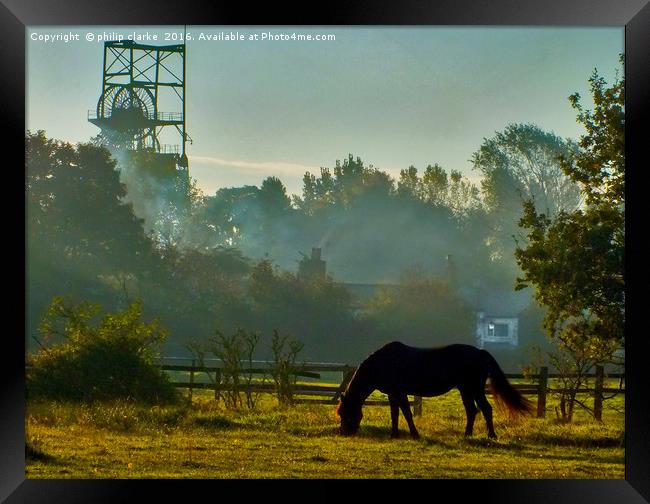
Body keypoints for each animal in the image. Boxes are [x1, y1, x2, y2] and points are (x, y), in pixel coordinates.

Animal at [334, 340, 532, 440]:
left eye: (346, 413)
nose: (344, 432)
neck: (383, 363)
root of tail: (480, 352)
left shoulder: (399, 392)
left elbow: (406, 413)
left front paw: (414, 434)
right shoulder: (392, 393)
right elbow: (395, 413)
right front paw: (394, 434)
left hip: (473, 388)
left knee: (485, 409)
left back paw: (491, 435)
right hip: (465, 389)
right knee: (472, 410)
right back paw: (467, 435)